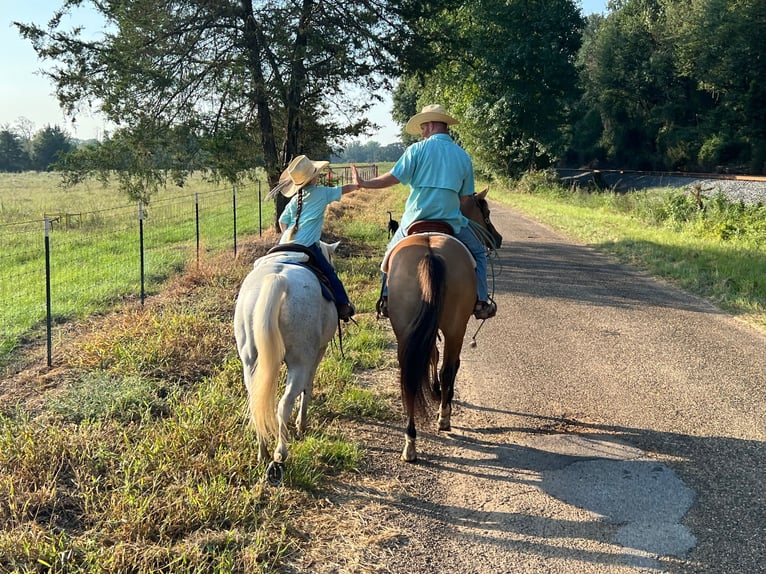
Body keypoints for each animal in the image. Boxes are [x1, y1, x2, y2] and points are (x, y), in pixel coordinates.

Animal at [384, 190, 504, 464]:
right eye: (486, 212)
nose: (498, 238)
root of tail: (430, 254)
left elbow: (431, 357)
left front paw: (434, 389)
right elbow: (447, 363)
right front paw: (441, 397)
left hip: (404, 328)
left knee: (409, 374)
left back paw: (410, 442)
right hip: (455, 327)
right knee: (449, 368)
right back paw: (443, 417)